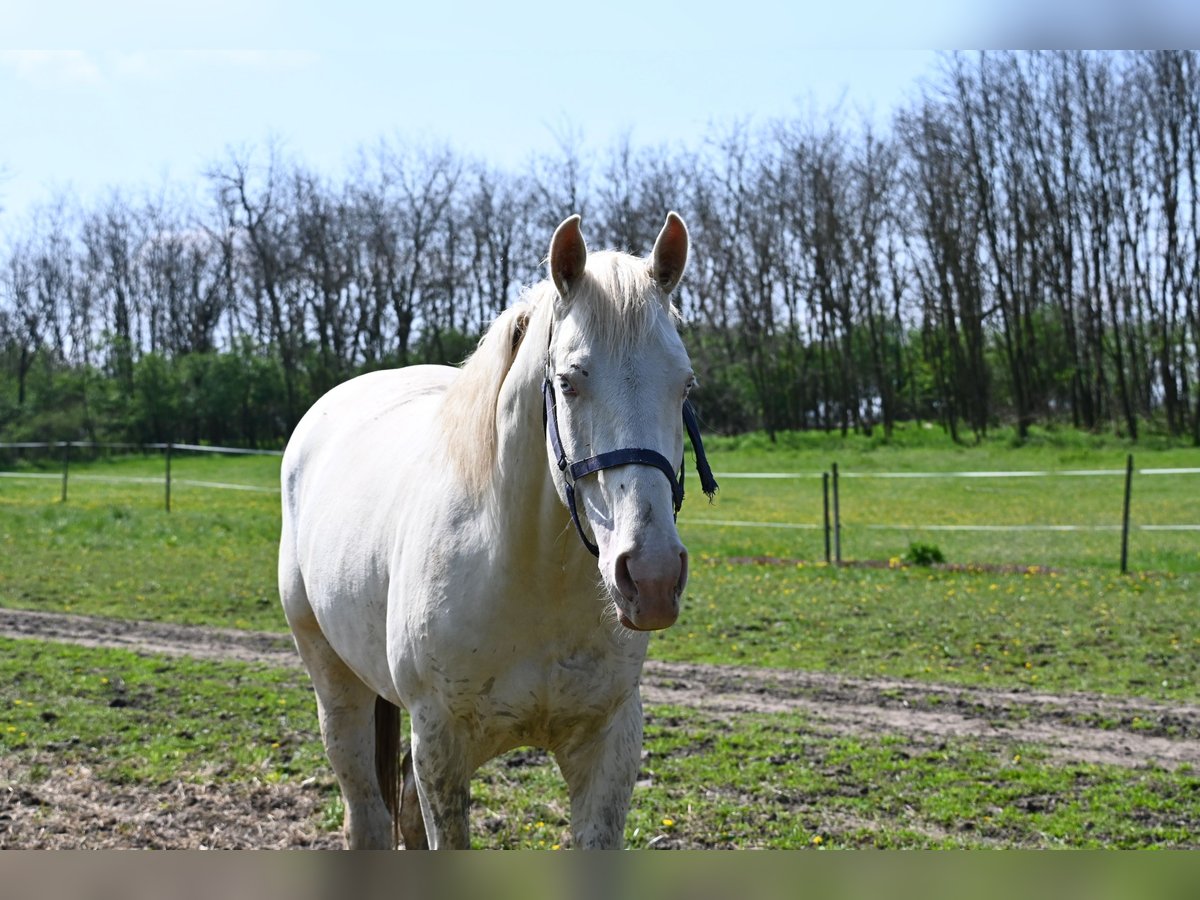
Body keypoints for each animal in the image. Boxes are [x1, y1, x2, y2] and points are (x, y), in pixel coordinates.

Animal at [279, 214, 710, 849]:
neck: (532, 579)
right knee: (368, 815)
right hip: (336, 685)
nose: (652, 577)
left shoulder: (610, 742)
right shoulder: (439, 744)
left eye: (684, 385)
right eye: (569, 382)